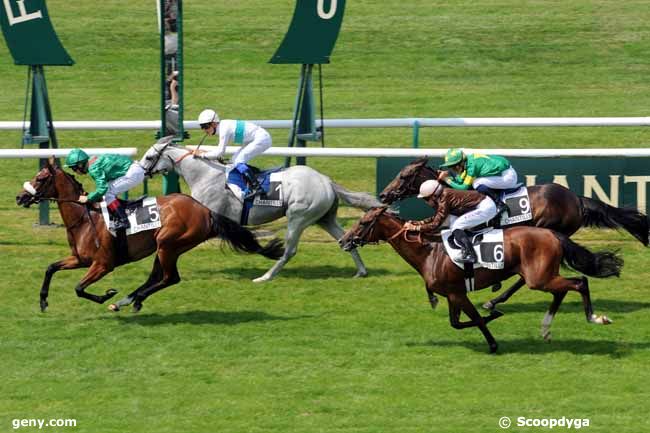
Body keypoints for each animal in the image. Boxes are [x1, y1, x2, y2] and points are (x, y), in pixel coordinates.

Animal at [15, 159, 282, 310]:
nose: (20, 197)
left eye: (40, 178)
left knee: (170, 278)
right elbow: (50, 268)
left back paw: (131, 300)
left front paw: (106, 294)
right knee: (157, 276)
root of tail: (205, 210)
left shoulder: (102, 264)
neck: (85, 217)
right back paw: (128, 300)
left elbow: (79, 288)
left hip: (168, 244)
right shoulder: (80, 259)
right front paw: (43, 301)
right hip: (165, 247)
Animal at [137, 137, 380, 282]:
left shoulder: (215, 219)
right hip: (324, 218)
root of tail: (326, 181)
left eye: (149, 157)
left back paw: (266, 276)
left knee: (290, 250)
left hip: (298, 217)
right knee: (345, 239)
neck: (205, 175)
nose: (140, 171)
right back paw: (361, 271)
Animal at [336, 208, 620, 352]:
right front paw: (493, 313)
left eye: (364, 222)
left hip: (538, 278)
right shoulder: (452, 295)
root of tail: (552, 233)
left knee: (579, 282)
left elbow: (474, 321)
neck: (429, 252)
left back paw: (595, 318)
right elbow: (456, 323)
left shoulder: (458, 294)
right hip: (541, 276)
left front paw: (493, 339)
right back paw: (546, 329)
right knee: (563, 290)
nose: (343, 240)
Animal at [378, 157, 644, 308]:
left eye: (403, 176)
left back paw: (494, 300)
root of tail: (576, 199)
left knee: (525, 276)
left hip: (545, 229)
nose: (383, 195)